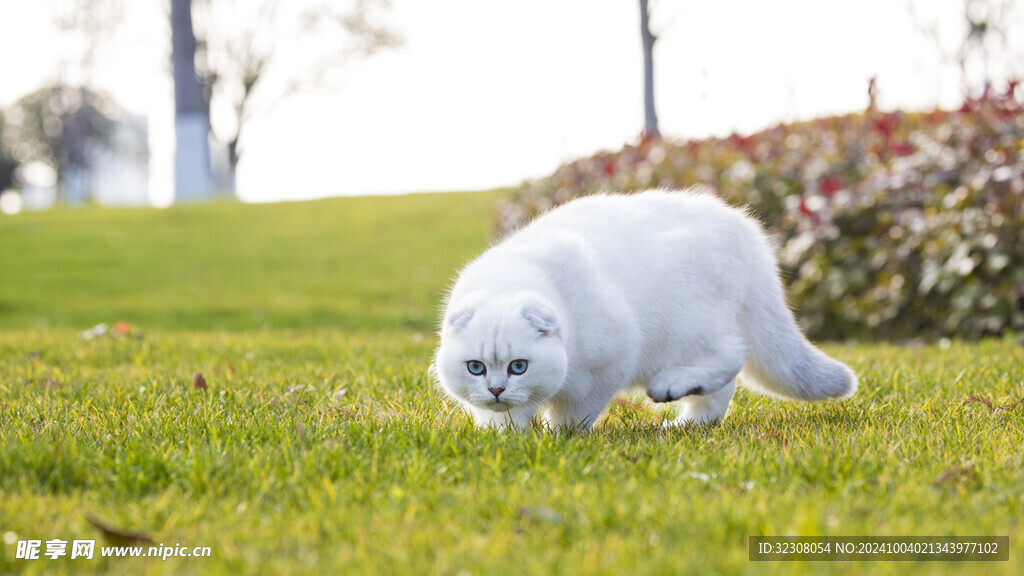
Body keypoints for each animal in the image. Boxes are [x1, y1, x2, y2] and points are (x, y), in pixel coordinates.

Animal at [432, 189, 856, 430]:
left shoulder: (604, 368)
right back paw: (690, 425)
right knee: (722, 390)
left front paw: (558, 437)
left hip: (687, 328)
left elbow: (572, 416)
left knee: (732, 357)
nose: (497, 389)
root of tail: (745, 229)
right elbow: (501, 420)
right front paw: (505, 436)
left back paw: (672, 390)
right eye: (476, 368)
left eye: (518, 366)